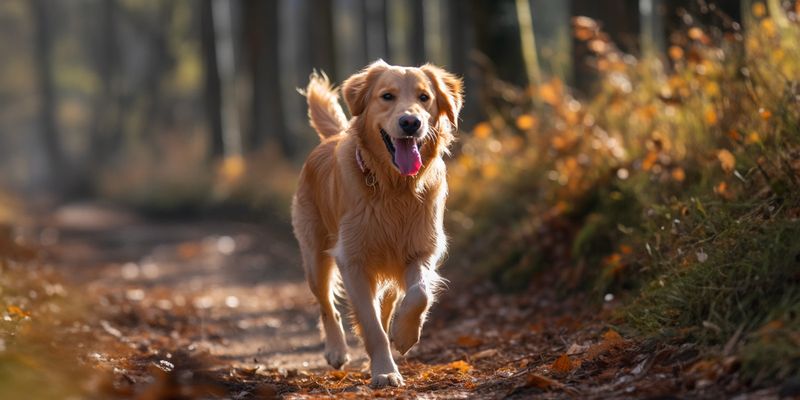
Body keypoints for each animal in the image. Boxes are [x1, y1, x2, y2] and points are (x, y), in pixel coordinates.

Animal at [290, 60, 462, 388]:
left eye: (424, 97)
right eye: (387, 96)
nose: (411, 123)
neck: (394, 187)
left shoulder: (421, 250)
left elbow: (420, 294)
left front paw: (404, 335)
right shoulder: (352, 260)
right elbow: (370, 325)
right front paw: (384, 370)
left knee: (387, 303)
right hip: (314, 255)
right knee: (326, 304)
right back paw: (336, 350)